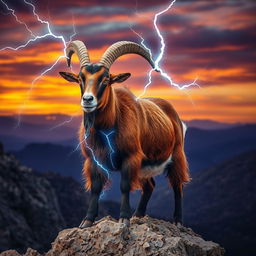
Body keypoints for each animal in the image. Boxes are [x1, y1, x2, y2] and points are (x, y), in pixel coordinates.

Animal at [59, 40, 189, 228]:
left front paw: (124, 218)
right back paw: (138, 215)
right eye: (80, 78)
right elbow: (96, 188)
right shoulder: (93, 160)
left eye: (106, 79)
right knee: (149, 185)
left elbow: (125, 186)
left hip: (177, 154)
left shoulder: (131, 157)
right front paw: (87, 220)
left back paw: (178, 221)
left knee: (177, 184)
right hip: (144, 166)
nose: (88, 100)